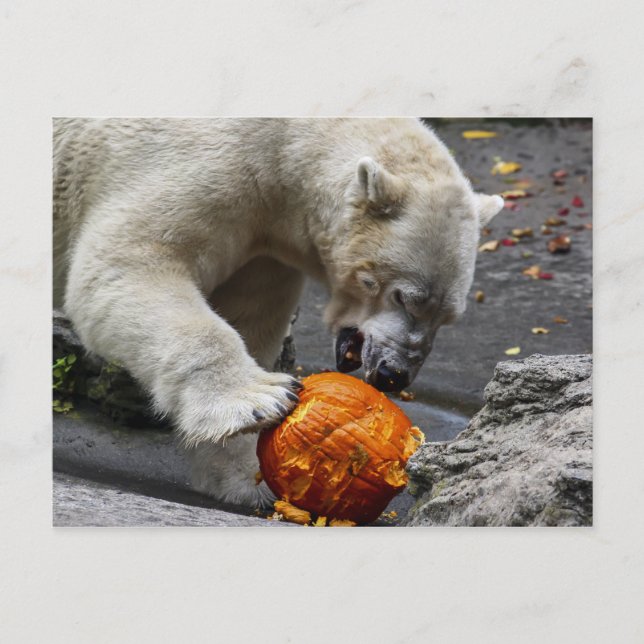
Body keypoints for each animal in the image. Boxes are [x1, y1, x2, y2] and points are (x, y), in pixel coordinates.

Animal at [53, 118, 503, 507]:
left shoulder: (264, 244)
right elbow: (127, 265)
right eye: (403, 297)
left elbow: (249, 317)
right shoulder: (197, 166)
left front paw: (247, 478)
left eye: (447, 316)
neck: (287, 149)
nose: (395, 374)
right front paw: (259, 402)